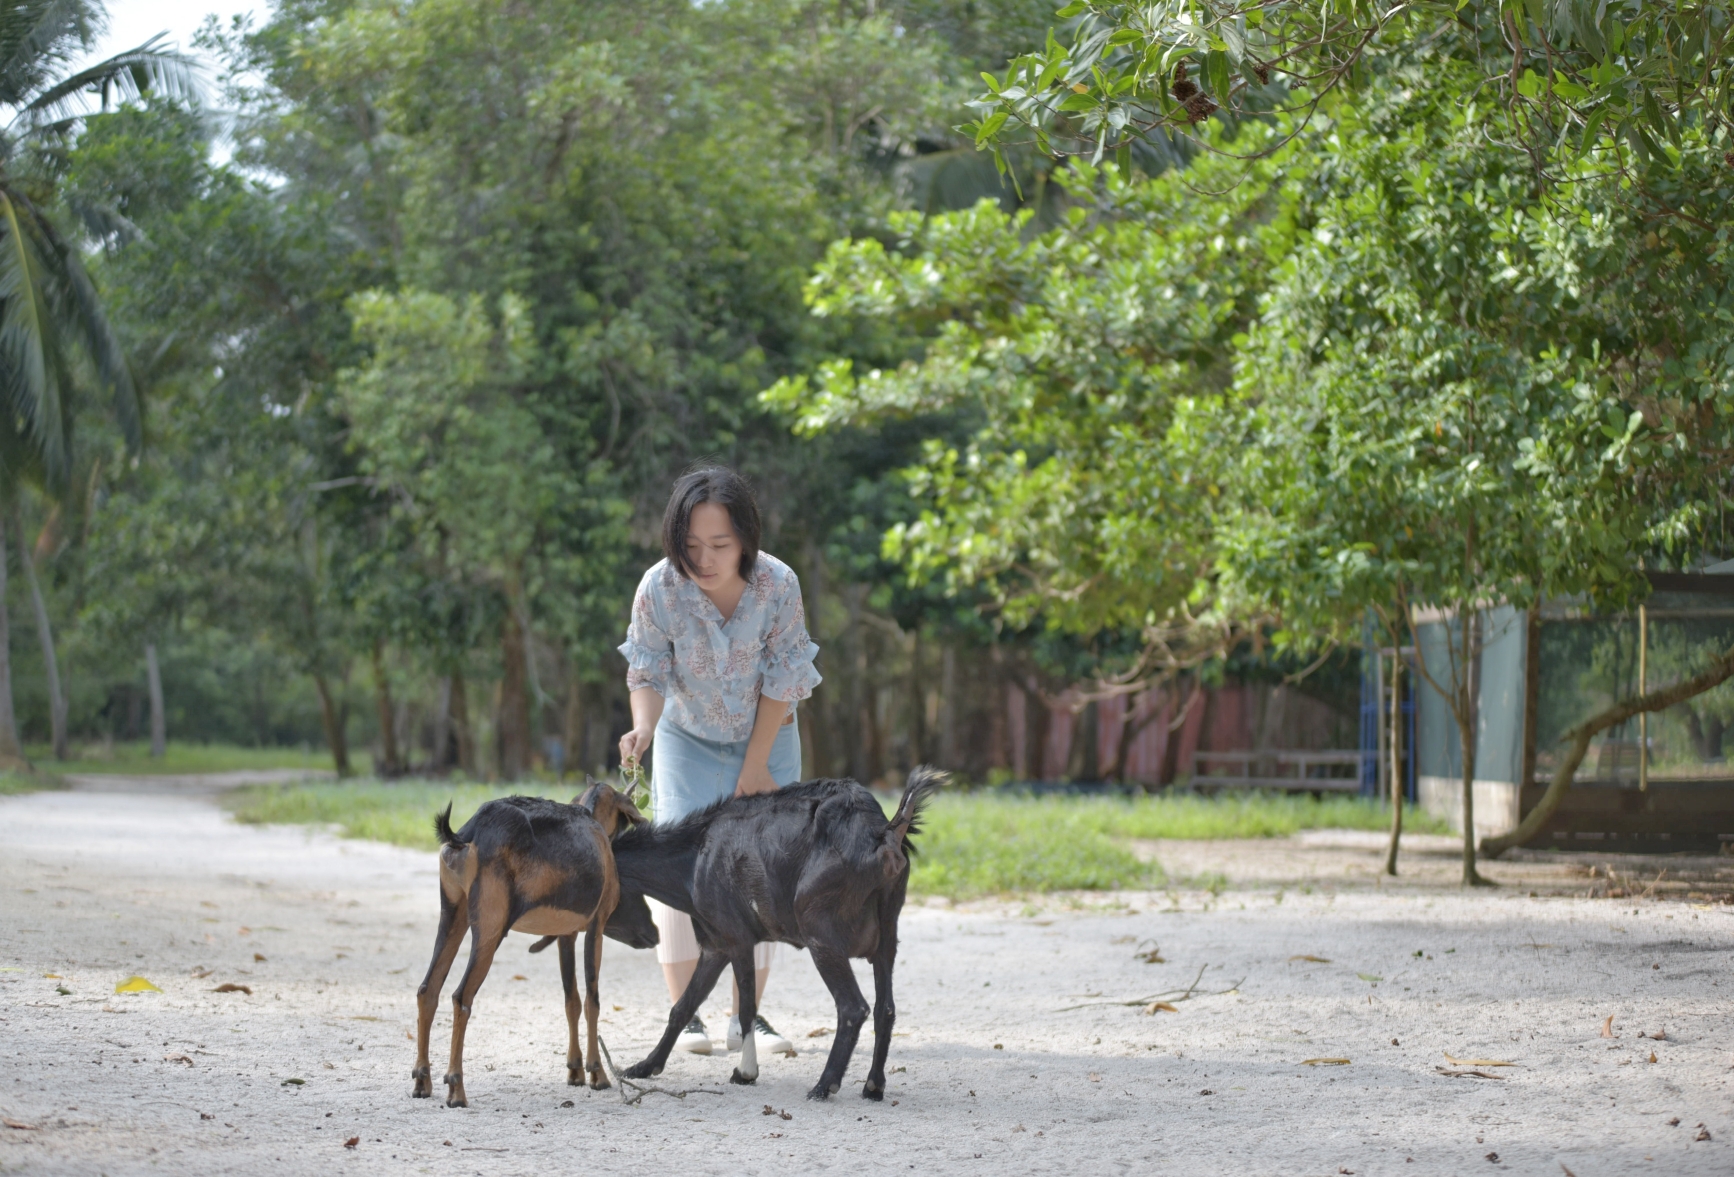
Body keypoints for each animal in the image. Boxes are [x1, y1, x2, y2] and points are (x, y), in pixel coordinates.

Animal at [412, 783, 655, 1102]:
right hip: (489, 928)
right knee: (461, 996)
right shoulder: (596, 926)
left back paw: (421, 1081)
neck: (594, 825)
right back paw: (456, 1088)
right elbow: (592, 1000)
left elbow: (571, 1000)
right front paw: (597, 1073)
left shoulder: (566, 934)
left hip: (453, 913)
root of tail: (467, 834)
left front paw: (575, 1071)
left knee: (428, 989)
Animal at [610, 769, 936, 1102]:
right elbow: (683, 1007)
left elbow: (746, 1008)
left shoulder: (738, 940)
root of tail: (884, 835)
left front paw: (745, 1072)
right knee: (886, 1008)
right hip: (887, 933)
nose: (652, 936)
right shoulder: (715, 946)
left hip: (819, 931)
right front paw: (644, 1066)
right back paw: (873, 1086)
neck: (694, 858)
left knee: (852, 1007)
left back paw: (824, 1085)